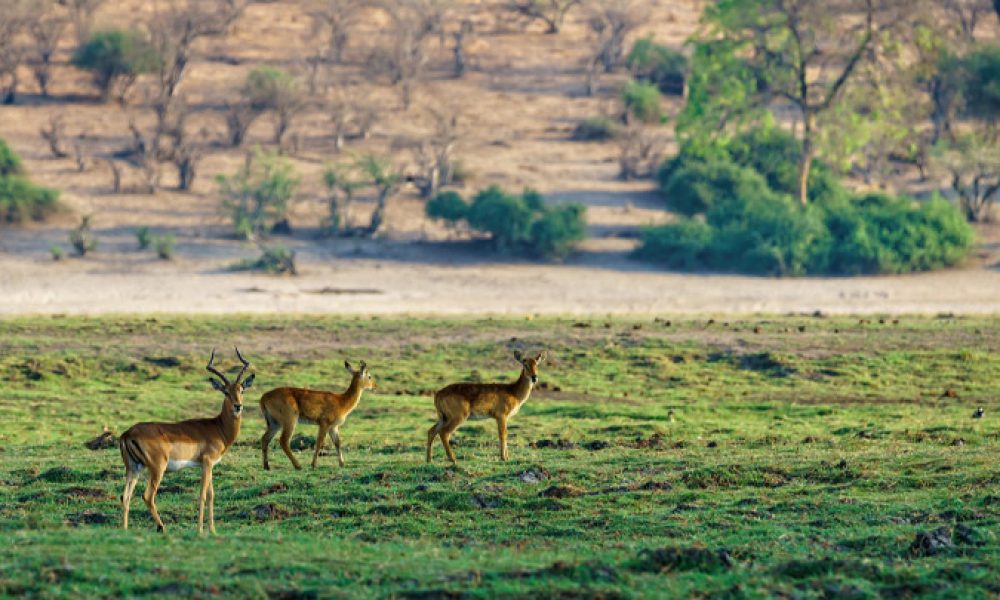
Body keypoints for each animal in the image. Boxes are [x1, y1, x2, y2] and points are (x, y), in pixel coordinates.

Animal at [118, 346, 254, 536]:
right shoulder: (207, 463)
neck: (218, 427)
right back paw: (162, 528)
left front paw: (213, 530)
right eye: (226, 391)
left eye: (241, 390)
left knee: (126, 496)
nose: (238, 406)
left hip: (133, 468)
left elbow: (211, 495)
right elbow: (203, 495)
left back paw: (124, 530)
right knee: (147, 496)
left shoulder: (208, 465)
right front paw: (200, 530)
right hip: (157, 468)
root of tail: (127, 433)